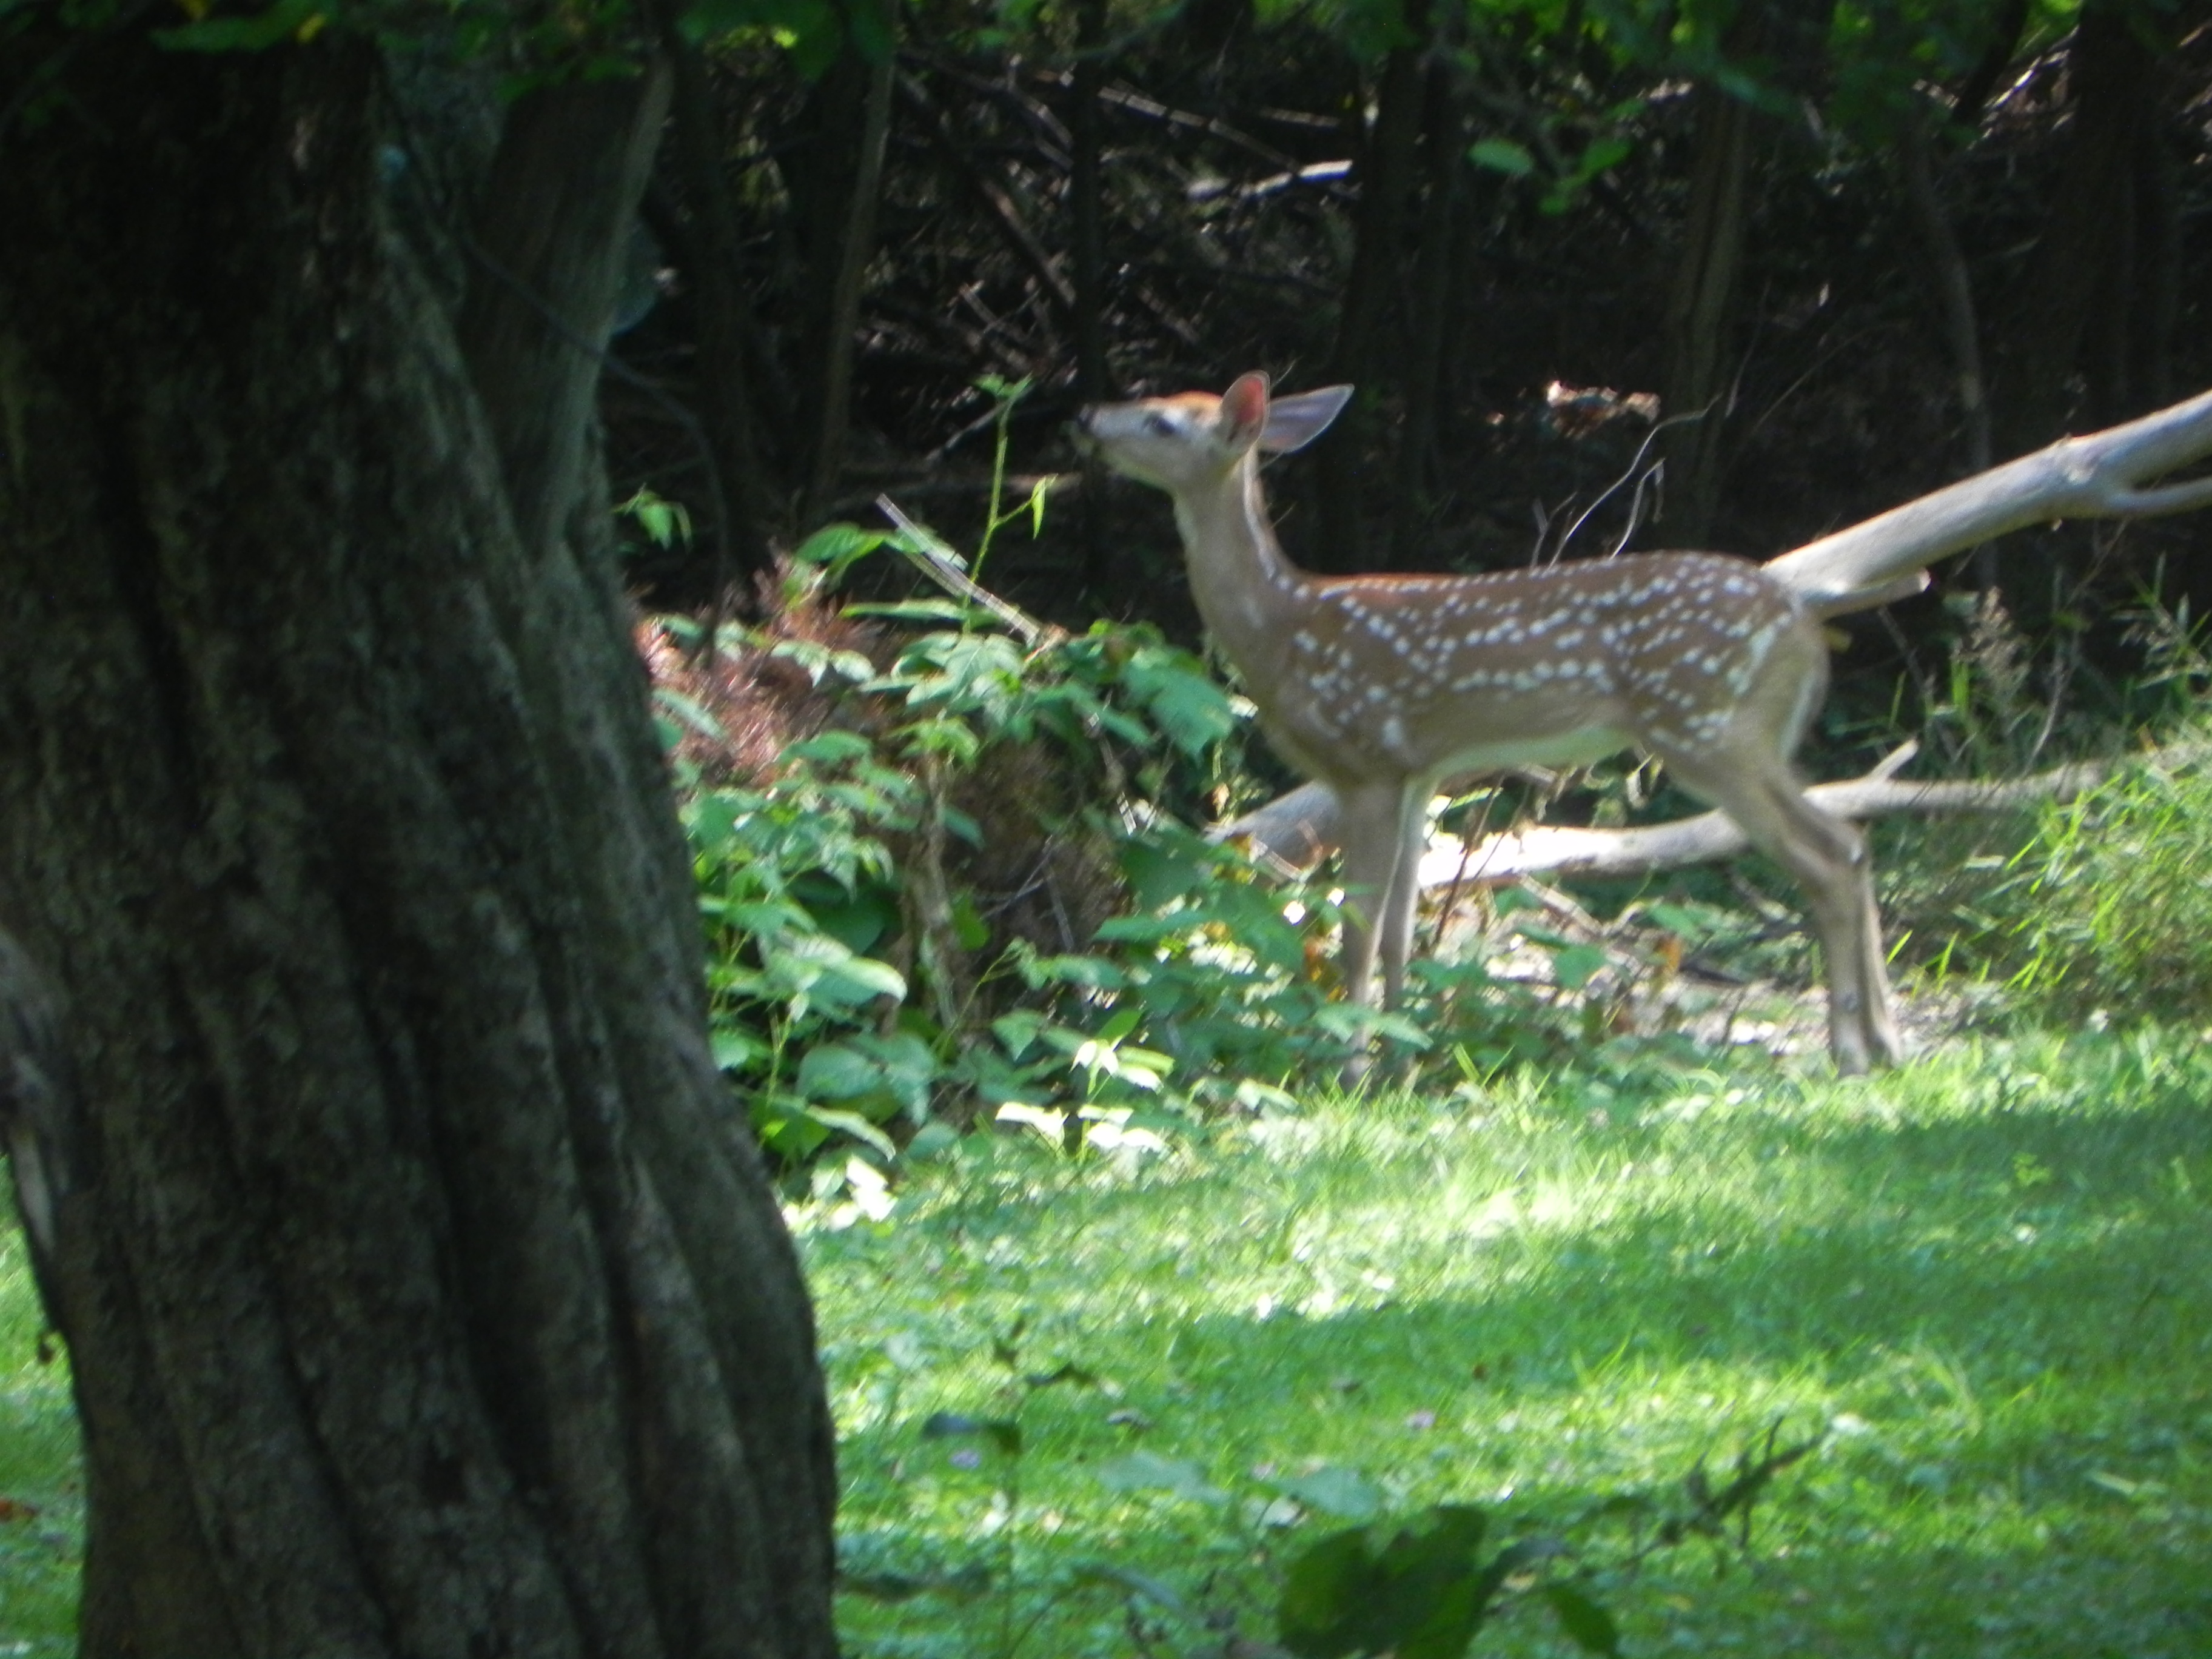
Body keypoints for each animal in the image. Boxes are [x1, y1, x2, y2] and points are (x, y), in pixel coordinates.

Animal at [1077, 371, 1903, 1076]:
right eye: (1151, 396)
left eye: (1161, 422)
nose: (1089, 417)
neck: (1283, 628)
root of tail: (1805, 628)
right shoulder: (1420, 776)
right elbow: (1402, 930)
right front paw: (1401, 1059)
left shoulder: (1366, 762)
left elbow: (1357, 931)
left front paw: (1349, 1067)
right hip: (1746, 734)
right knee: (1852, 842)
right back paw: (1886, 1042)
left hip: (1706, 725)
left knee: (1826, 856)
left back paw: (1852, 1051)